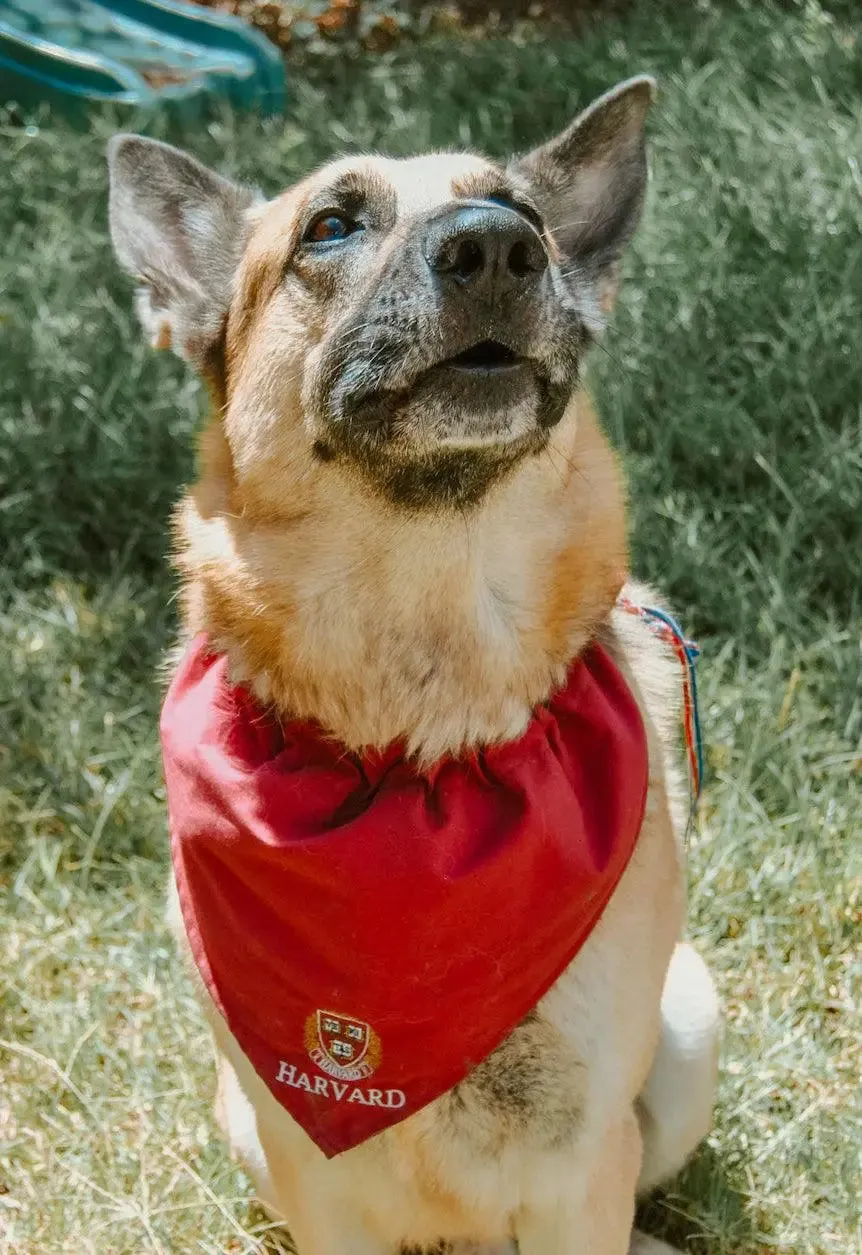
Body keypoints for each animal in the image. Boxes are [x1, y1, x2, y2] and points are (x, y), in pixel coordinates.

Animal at [109, 78, 722, 1255]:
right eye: (330, 227)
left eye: (521, 212)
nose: (495, 249)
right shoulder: (311, 1169)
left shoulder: (580, 1163)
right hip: (243, 1119)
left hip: (689, 1029)